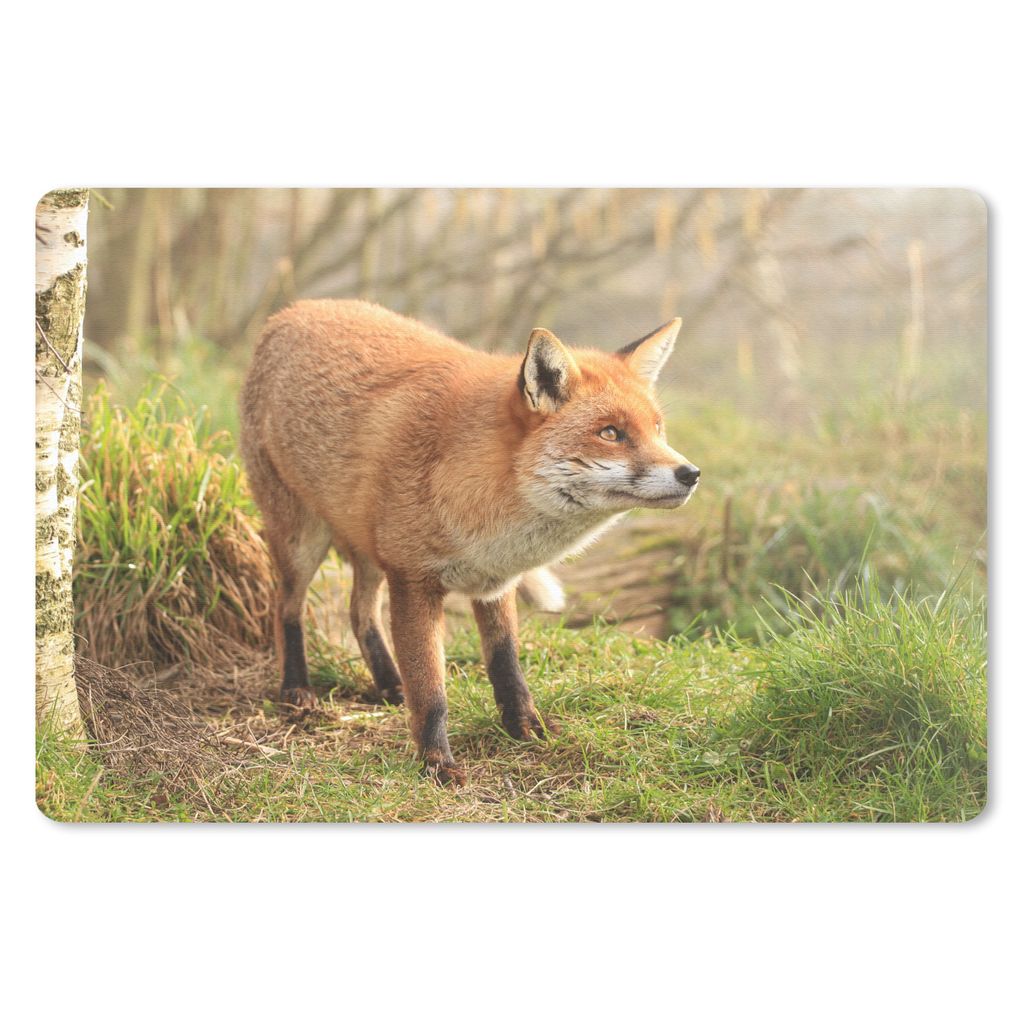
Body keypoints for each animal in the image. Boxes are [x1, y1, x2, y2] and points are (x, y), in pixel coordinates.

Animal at [239, 299, 700, 785]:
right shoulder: (413, 581)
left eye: (657, 429)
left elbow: (506, 666)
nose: (691, 474)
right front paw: (436, 762)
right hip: (301, 541)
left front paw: (528, 730)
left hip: (368, 550)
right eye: (610, 433)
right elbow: (432, 690)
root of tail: (292, 310)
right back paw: (296, 689)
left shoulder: (494, 582)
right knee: (287, 608)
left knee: (359, 611)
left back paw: (389, 684)